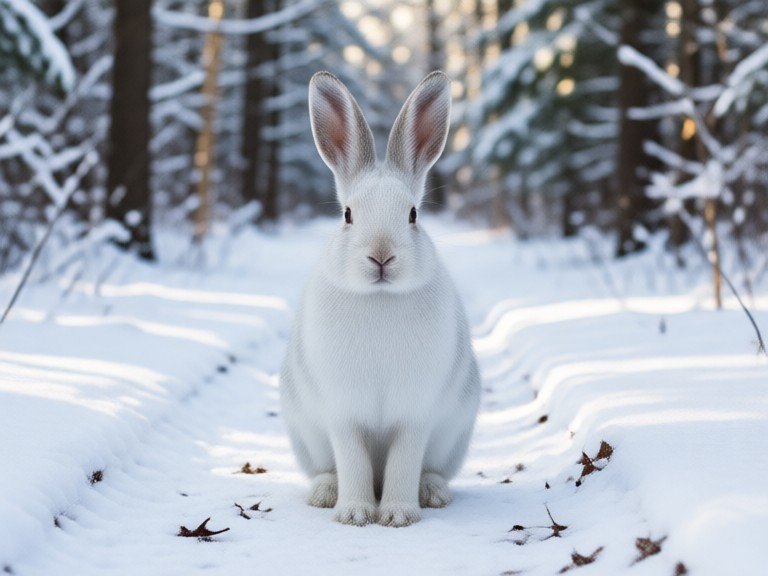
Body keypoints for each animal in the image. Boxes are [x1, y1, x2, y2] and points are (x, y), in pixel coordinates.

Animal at [280, 71, 480, 527]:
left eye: (413, 215)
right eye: (347, 215)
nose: (382, 257)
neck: (380, 298)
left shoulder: (415, 413)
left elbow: (404, 460)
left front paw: (397, 516)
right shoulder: (343, 413)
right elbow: (352, 459)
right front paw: (354, 514)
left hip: (454, 436)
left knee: (430, 468)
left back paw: (432, 492)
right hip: (306, 436)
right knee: (329, 468)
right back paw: (326, 493)